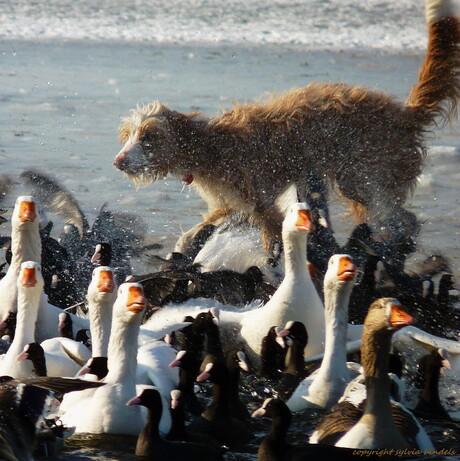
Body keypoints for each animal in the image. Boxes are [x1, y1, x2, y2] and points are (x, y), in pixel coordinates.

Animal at [114, 0, 460, 252]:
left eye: (148, 137)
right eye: (127, 135)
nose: (118, 161)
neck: (211, 146)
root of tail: (404, 113)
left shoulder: (261, 201)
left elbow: (270, 234)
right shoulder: (230, 202)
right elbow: (199, 228)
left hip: (362, 177)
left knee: (405, 220)